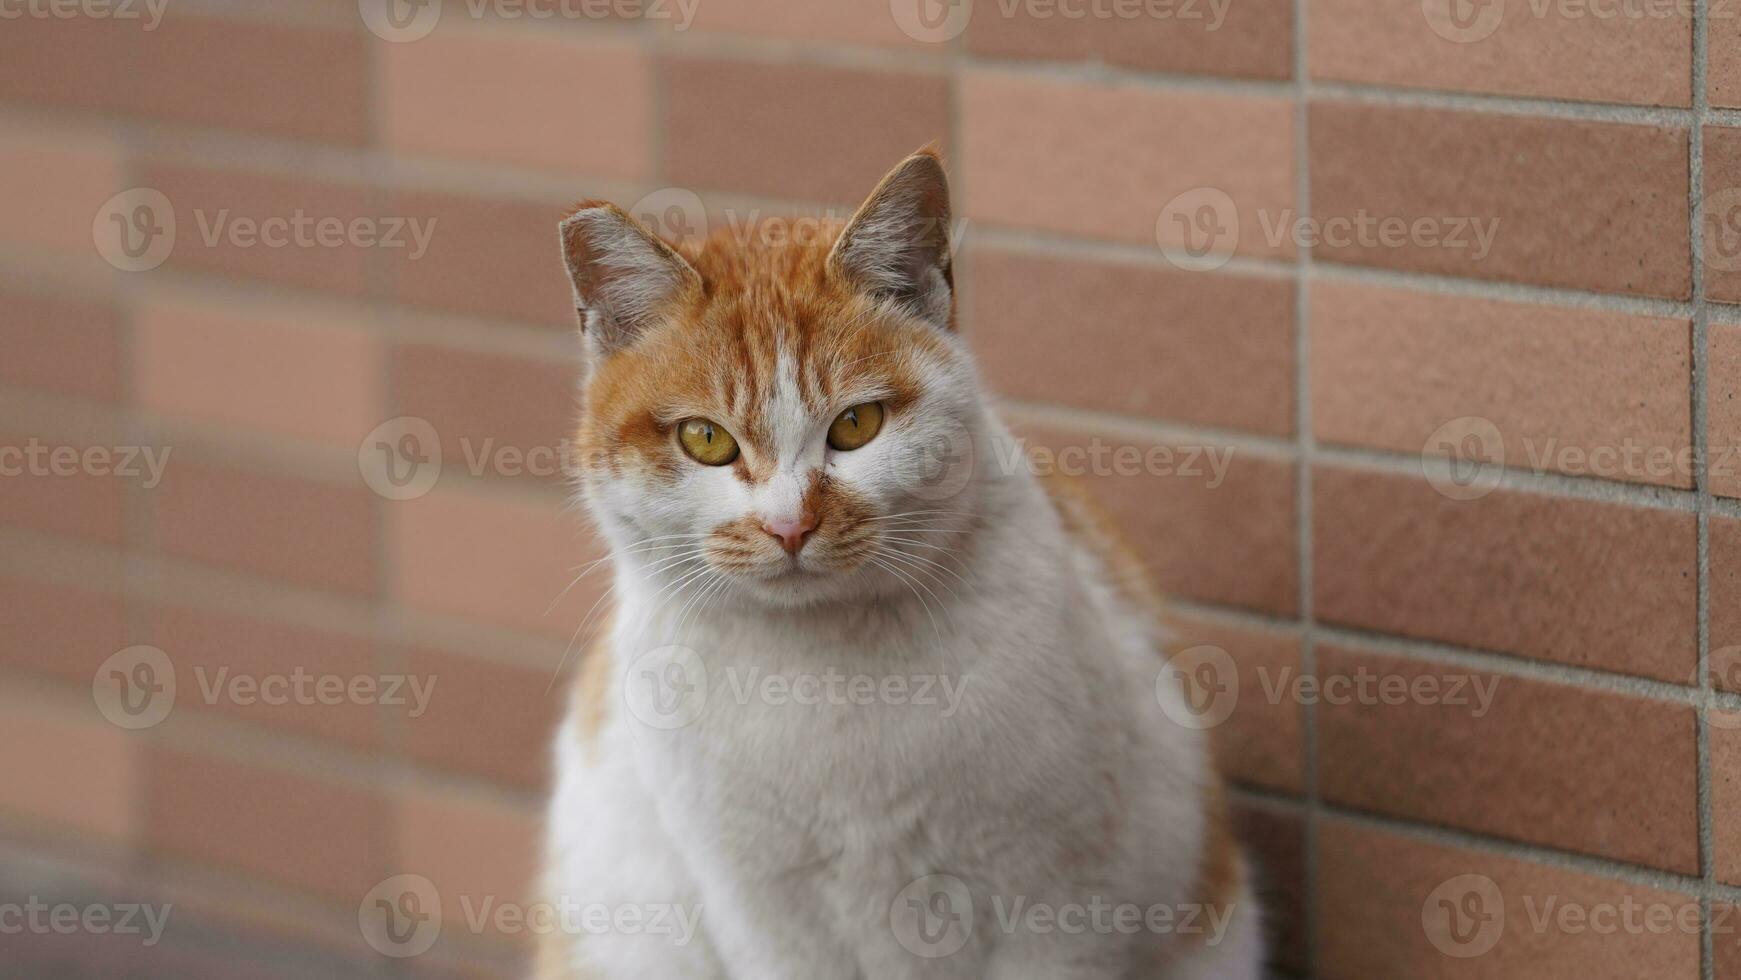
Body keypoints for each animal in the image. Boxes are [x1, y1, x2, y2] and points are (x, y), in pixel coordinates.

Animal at [536, 147, 1260, 980]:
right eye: (705, 439)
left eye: (856, 424)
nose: (789, 524)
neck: (823, 670)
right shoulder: (766, 917)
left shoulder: (1059, 903)